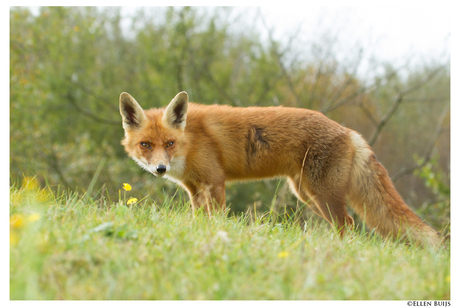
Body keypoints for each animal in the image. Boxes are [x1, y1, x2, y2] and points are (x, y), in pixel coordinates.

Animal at [119, 91, 442, 245]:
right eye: (146, 145)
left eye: (169, 143)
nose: (160, 169)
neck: (190, 140)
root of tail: (349, 132)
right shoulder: (195, 189)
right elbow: (200, 220)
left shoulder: (215, 182)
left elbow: (217, 220)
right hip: (306, 194)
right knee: (344, 223)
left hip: (322, 194)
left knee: (347, 223)